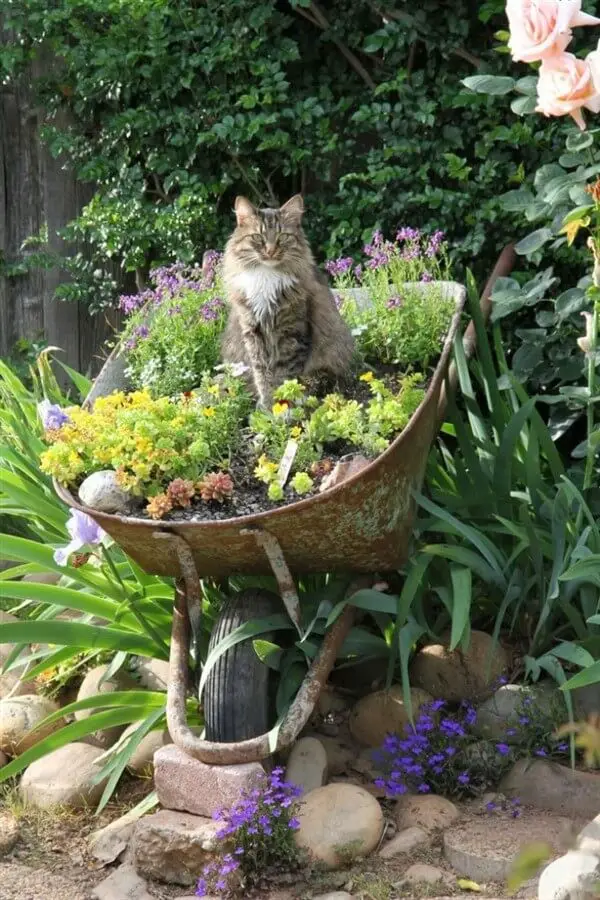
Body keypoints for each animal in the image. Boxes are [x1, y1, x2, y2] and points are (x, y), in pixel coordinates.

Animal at [221, 197, 356, 412]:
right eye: (258, 237)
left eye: (282, 236)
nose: (270, 250)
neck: (266, 276)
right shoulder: (253, 331)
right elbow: (262, 374)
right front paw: (268, 405)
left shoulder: (291, 331)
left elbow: (285, 374)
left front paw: (283, 404)